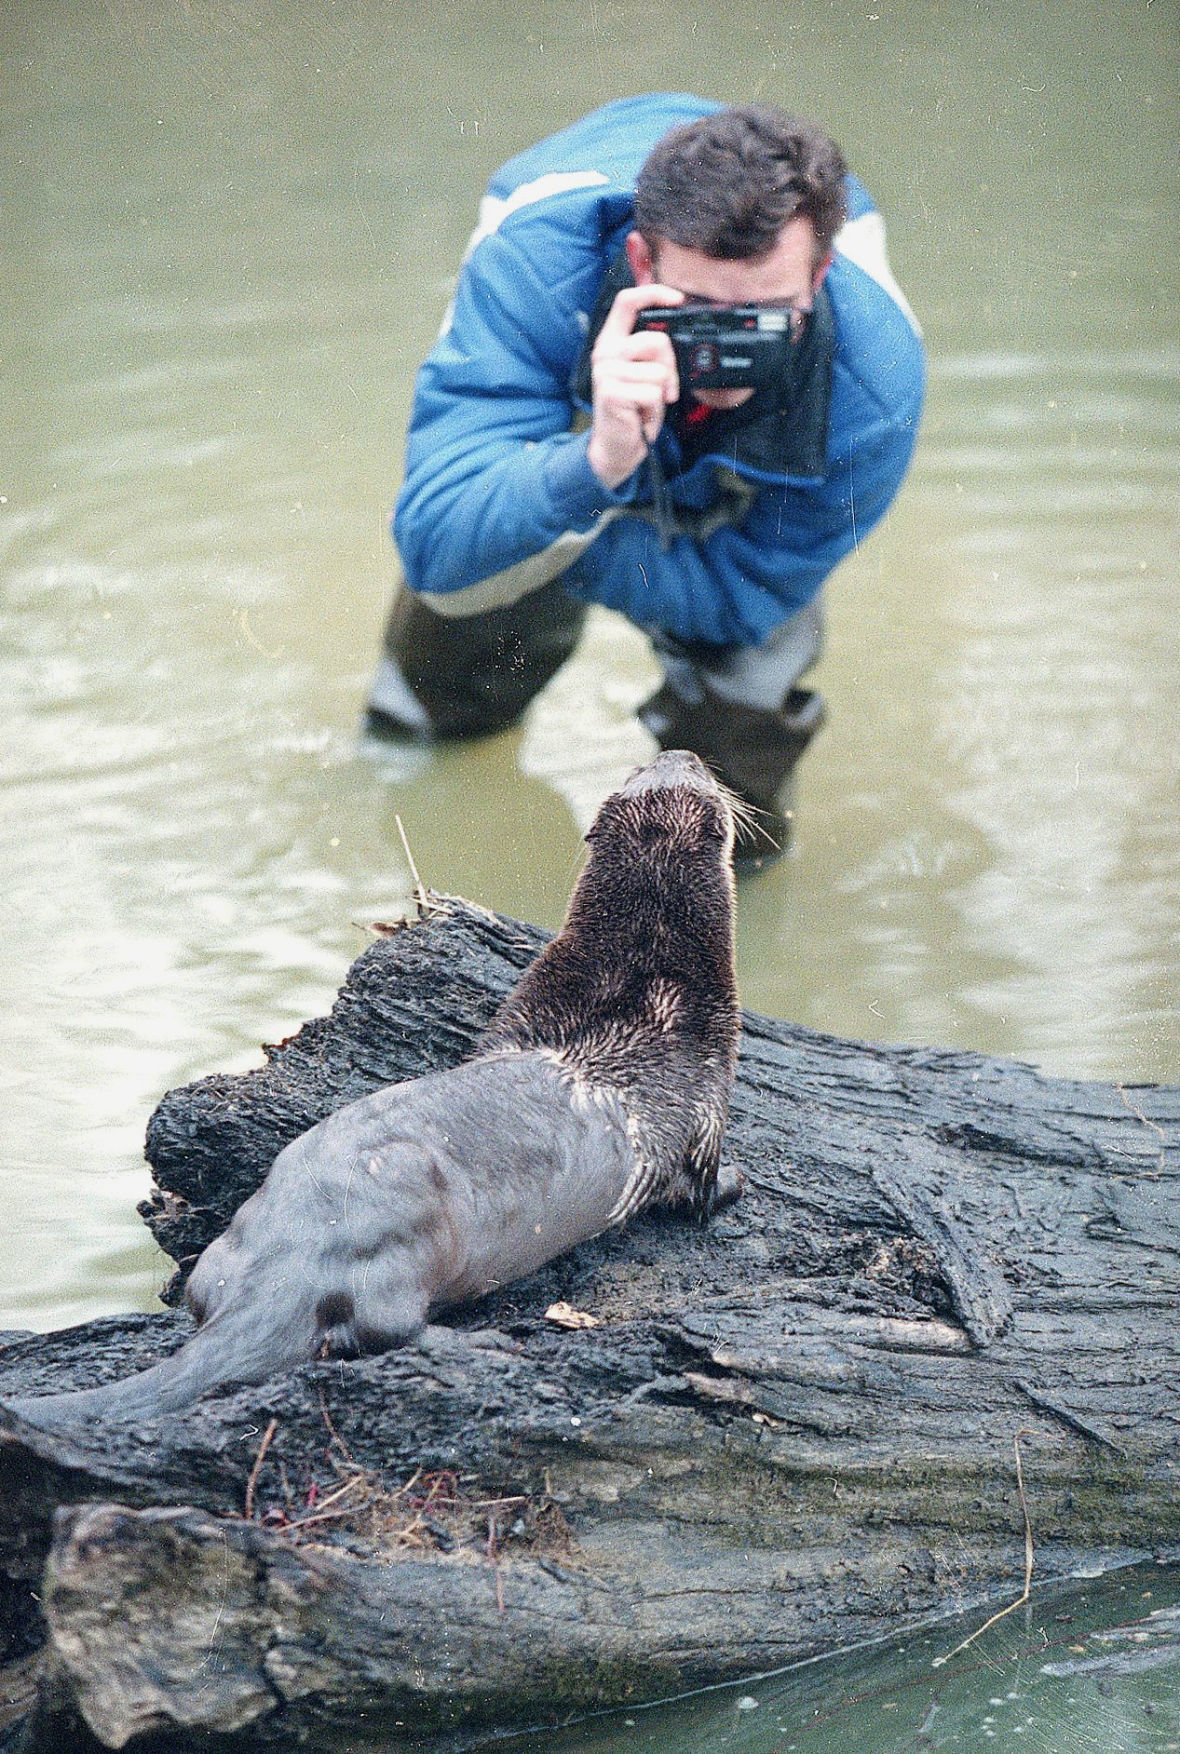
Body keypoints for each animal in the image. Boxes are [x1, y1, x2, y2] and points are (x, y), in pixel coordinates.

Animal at [5, 750, 741, 1430]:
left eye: (654, 766)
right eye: (693, 770)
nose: (686, 754)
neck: (638, 985)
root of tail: (283, 1278)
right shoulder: (705, 1096)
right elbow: (699, 1186)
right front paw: (733, 1185)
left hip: (227, 1251)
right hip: (402, 1249)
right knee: (384, 1332)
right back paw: (486, 1340)